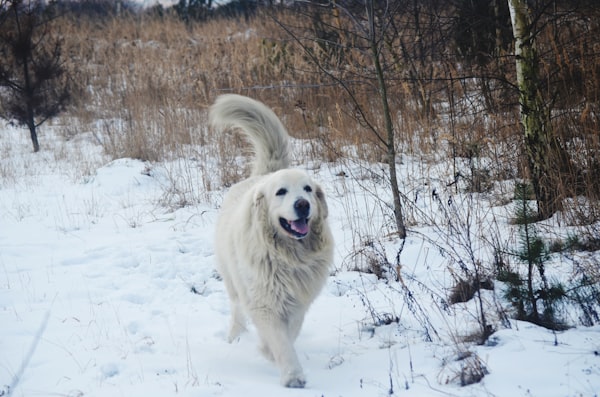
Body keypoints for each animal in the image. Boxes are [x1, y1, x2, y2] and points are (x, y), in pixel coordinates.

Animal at [210, 93, 332, 386]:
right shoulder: (263, 301)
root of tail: (262, 175)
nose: (302, 204)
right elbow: (279, 340)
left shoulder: (299, 298)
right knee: (237, 309)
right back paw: (234, 337)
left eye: (307, 189)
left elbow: (291, 331)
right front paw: (291, 375)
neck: (287, 255)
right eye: (281, 192)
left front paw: (272, 354)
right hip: (233, 281)